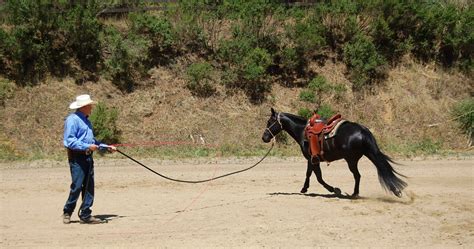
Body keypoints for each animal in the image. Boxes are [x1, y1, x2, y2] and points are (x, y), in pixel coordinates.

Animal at [262, 108, 406, 197]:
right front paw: (304, 188)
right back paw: (395, 190)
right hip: (368, 154)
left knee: (357, 175)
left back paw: (354, 194)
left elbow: (318, 177)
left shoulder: (312, 159)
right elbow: (309, 174)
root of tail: (362, 130)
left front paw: (334, 190)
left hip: (351, 160)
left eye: (270, 122)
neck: (302, 131)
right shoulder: (311, 159)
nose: (264, 137)